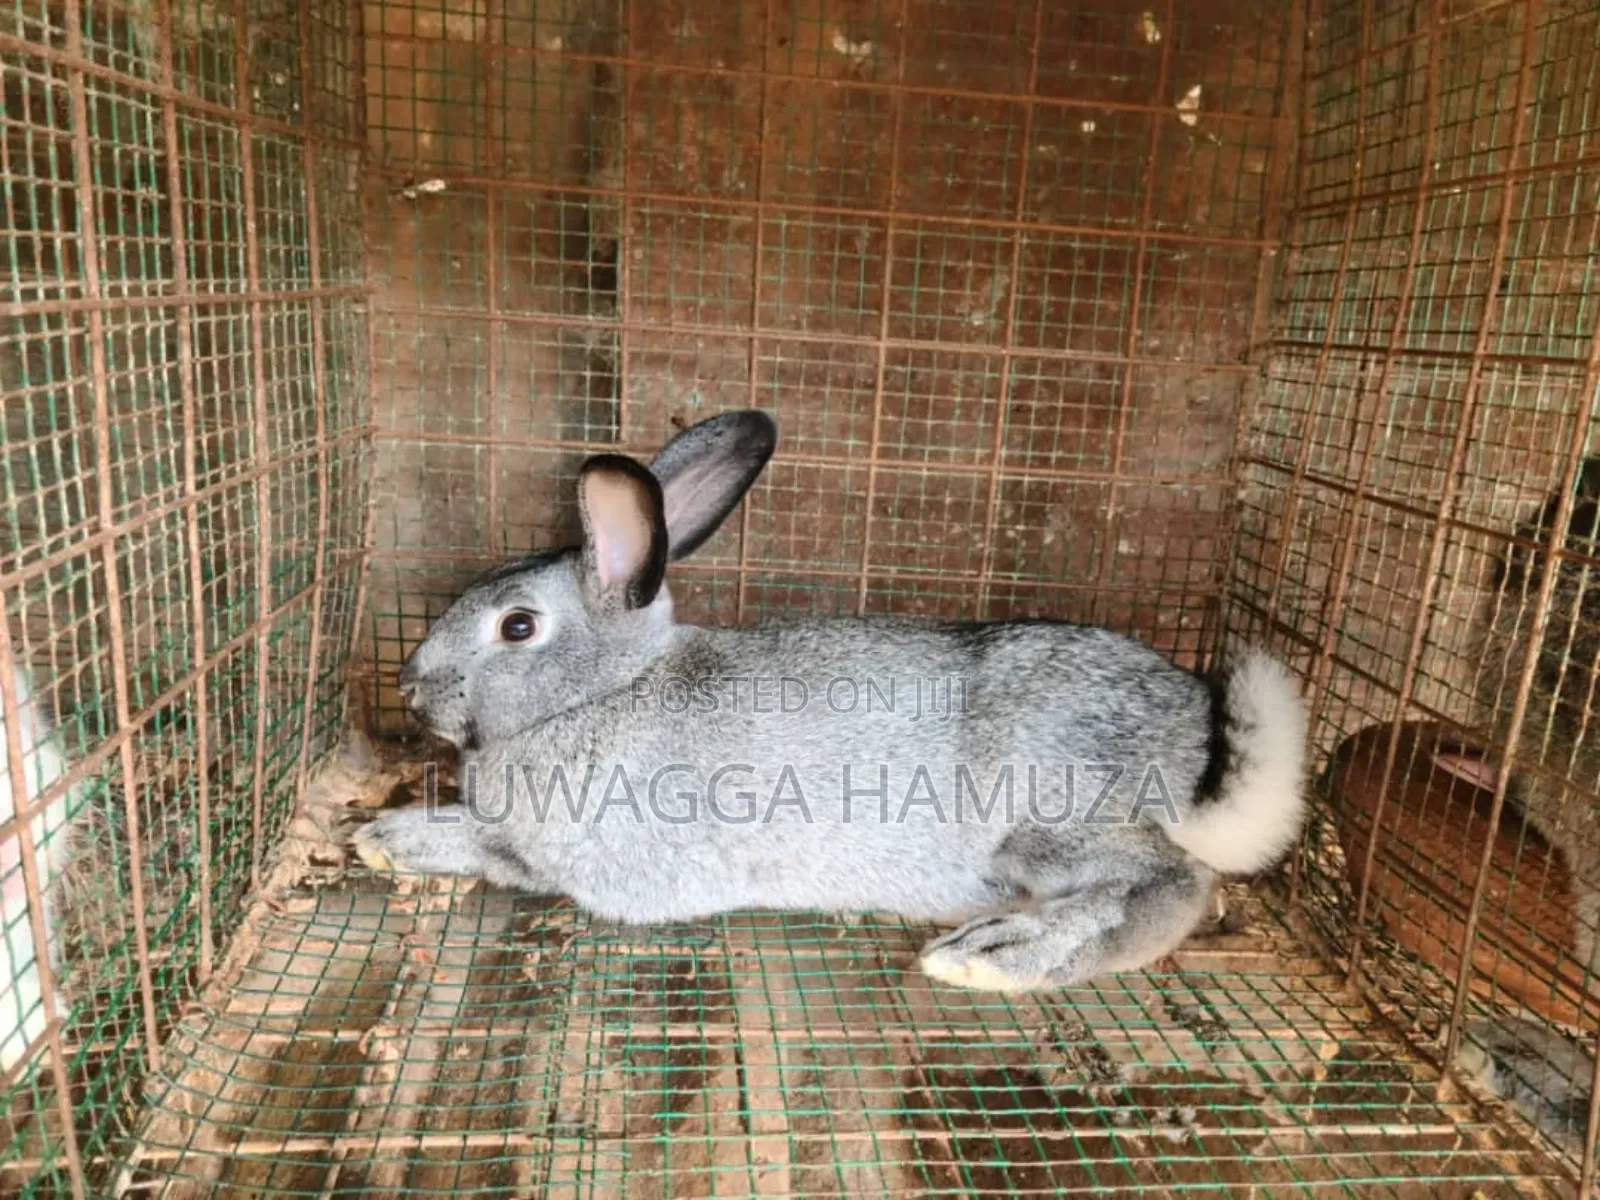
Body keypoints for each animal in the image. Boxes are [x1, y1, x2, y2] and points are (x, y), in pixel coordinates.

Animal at [352, 410, 1310, 992]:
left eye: (516, 627)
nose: (409, 686)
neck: (605, 689)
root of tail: (1195, 736)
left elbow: (493, 849)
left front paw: (389, 839)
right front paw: (382, 836)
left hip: (1055, 815)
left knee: (1171, 885)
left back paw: (995, 956)